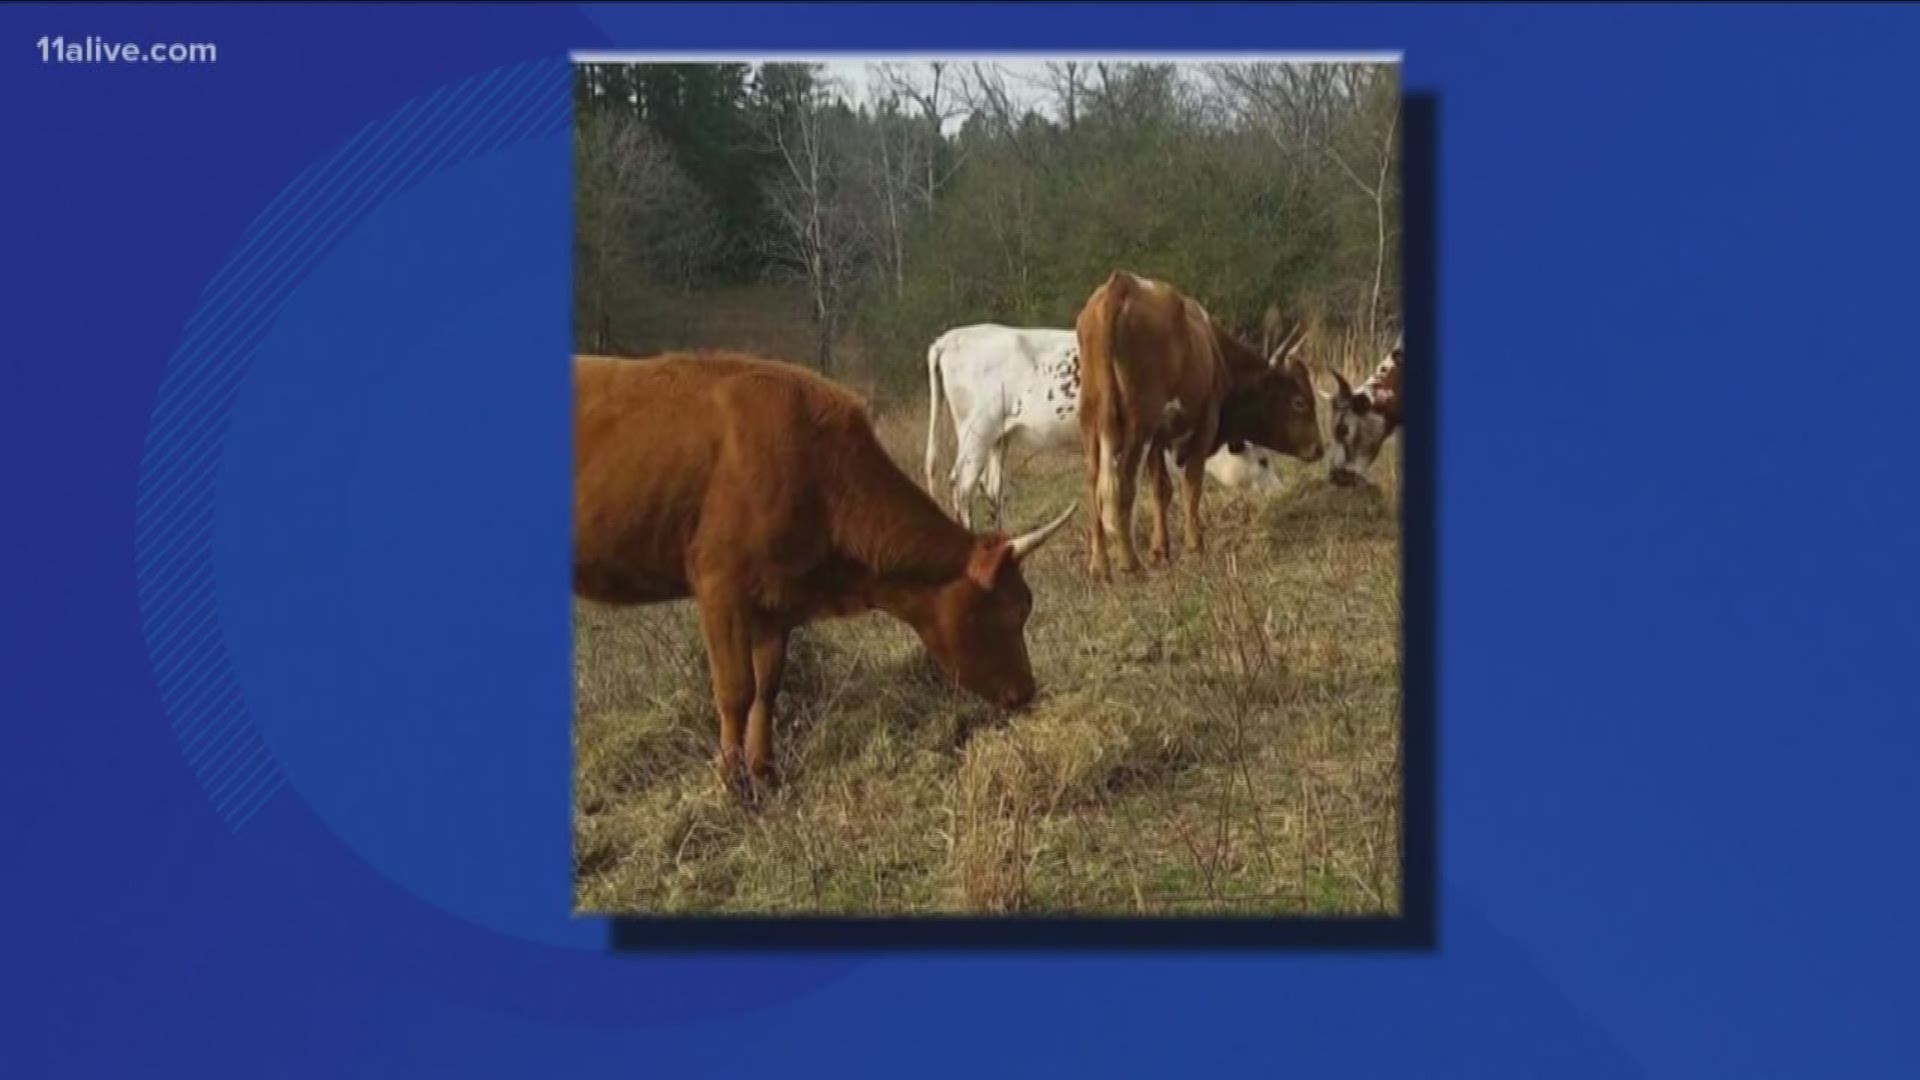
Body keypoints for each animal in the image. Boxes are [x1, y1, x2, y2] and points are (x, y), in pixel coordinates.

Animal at [568, 349, 1082, 795]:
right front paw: (732, 786)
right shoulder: (720, 588)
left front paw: (765, 775)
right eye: (1008, 612)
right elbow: (734, 690)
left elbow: (767, 689)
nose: (1027, 692)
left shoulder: (774, 599)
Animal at [921, 320, 1282, 526]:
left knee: (993, 488)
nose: (1281, 489)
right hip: (976, 431)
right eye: (1263, 459)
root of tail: (949, 339)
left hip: (999, 437)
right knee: (962, 485)